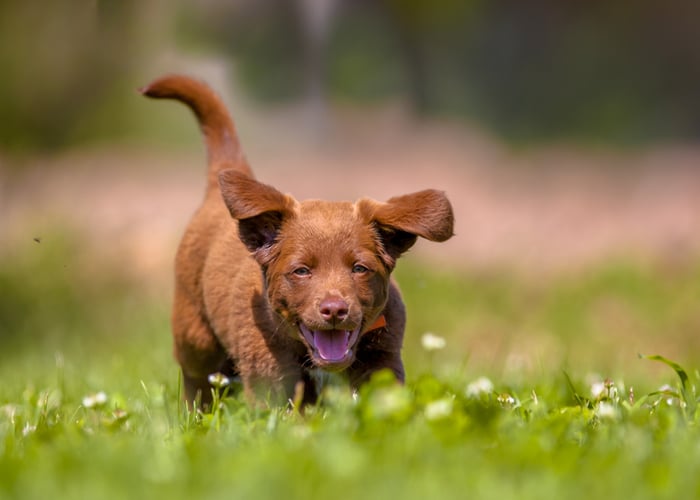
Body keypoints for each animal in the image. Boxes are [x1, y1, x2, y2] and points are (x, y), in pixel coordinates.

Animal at [141, 74, 454, 408]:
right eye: (301, 271)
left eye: (360, 268)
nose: (335, 310)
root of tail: (216, 191)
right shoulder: (268, 374)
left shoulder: (384, 358)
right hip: (194, 335)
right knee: (196, 381)